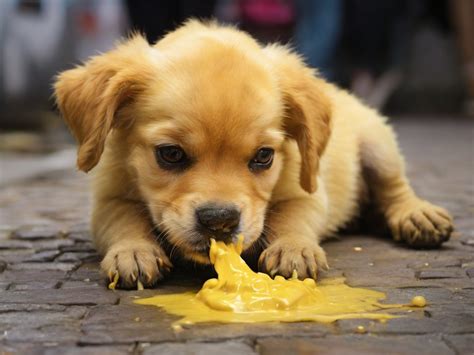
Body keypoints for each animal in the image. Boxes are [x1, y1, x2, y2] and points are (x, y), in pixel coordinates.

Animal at [53, 20, 454, 290]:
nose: (219, 222)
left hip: (379, 145)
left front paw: (294, 249)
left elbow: (293, 219)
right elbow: (124, 221)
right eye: (170, 154)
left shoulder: (307, 193)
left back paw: (415, 215)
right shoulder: (107, 200)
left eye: (263, 157)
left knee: (394, 186)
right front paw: (134, 251)